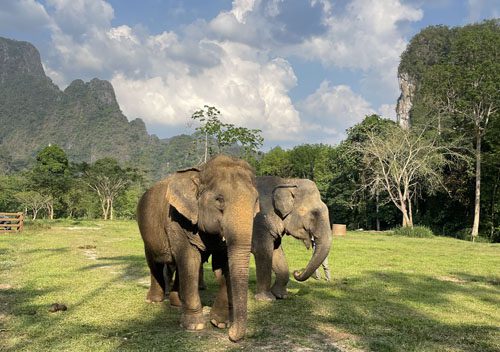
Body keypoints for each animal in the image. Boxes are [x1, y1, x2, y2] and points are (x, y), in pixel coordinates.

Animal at [138, 155, 260, 340]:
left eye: (256, 201)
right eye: (219, 199)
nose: (232, 334)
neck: (201, 170)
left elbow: (224, 264)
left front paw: (219, 323)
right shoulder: (176, 219)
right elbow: (190, 260)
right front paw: (194, 326)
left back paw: (177, 303)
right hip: (147, 231)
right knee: (155, 262)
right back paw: (153, 300)